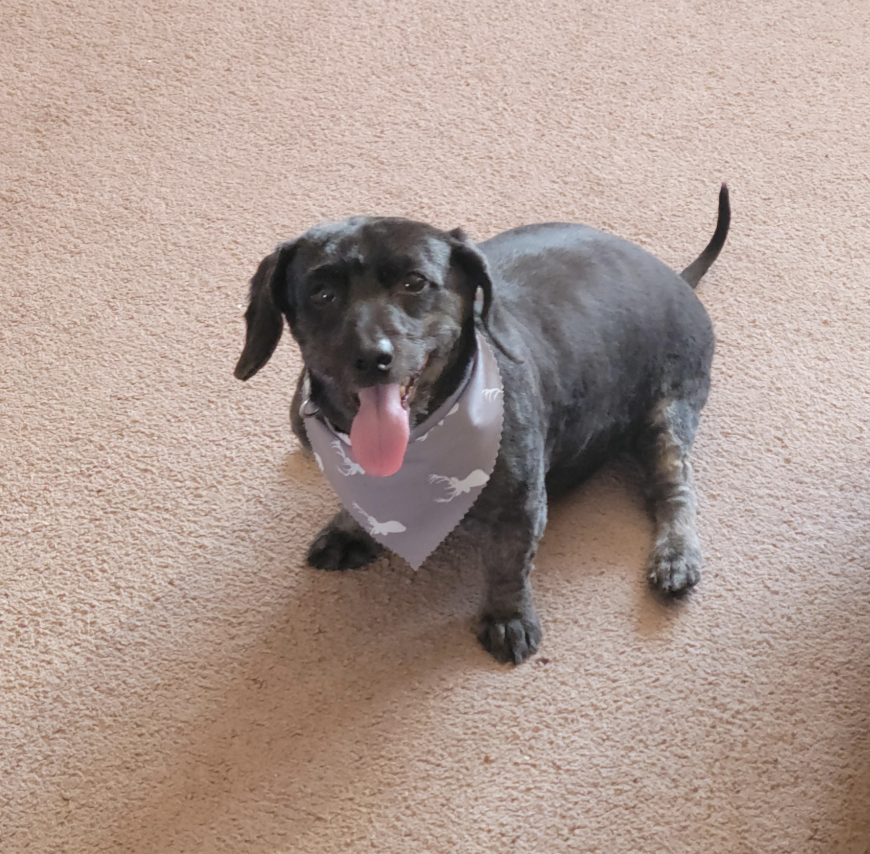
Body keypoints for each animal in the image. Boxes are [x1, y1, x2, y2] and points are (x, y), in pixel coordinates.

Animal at [235, 186, 732, 668]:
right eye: (322, 293)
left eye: (414, 282)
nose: (372, 357)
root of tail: (677, 277)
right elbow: (355, 501)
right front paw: (349, 529)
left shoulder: (522, 504)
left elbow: (507, 564)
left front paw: (506, 618)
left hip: (666, 418)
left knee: (674, 490)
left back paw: (675, 556)